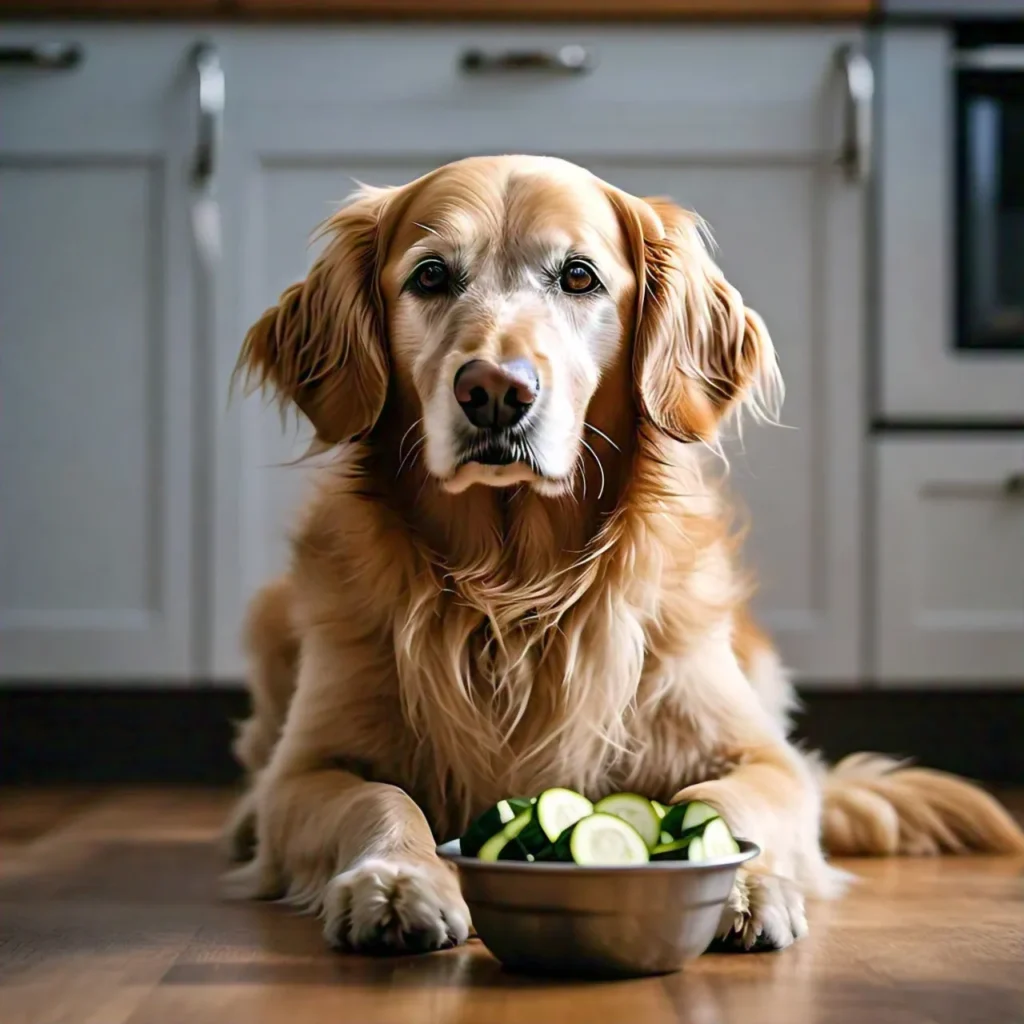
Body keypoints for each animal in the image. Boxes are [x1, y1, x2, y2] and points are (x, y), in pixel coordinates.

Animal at [224, 155, 1024, 954]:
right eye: (429, 276)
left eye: (579, 276)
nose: (495, 390)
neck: (514, 587)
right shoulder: (306, 769)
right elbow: (382, 799)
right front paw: (396, 879)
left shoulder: (763, 759)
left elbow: (722, 799)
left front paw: (742, 883)